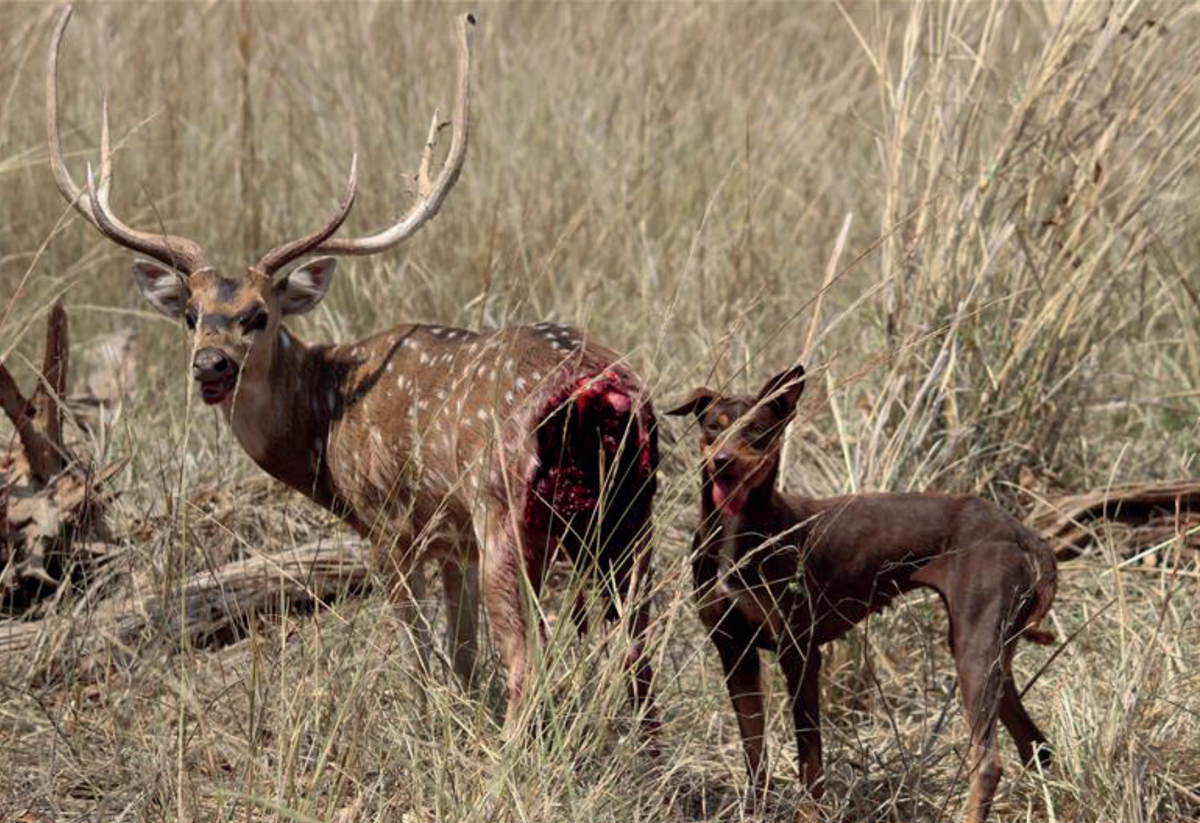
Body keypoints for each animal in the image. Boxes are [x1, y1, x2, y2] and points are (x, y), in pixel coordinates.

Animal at [46, 6, 657, 739]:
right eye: (191, 314)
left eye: (259, 314)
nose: (210, 364)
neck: (324, 421)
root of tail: (597, 388)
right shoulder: (452, 541)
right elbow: (461, 655)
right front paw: (457, 720)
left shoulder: (391, 524)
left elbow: (424, 653)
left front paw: (433, 724)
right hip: (631, 516)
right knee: (642, 659)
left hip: (506, 509)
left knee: (530, 667)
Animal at [672, 367, 1056, 823]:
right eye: (713, 427)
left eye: (758, 432)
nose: (723, 462)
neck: (743, 533)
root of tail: (1018, 530)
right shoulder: (734, 651)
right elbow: (755, 753)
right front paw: (756, 811)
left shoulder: (799, 653)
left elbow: (810, 759)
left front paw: (808, 815)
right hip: (994, 655)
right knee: (1036, 745)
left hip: (974, 651)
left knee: (990, 762)